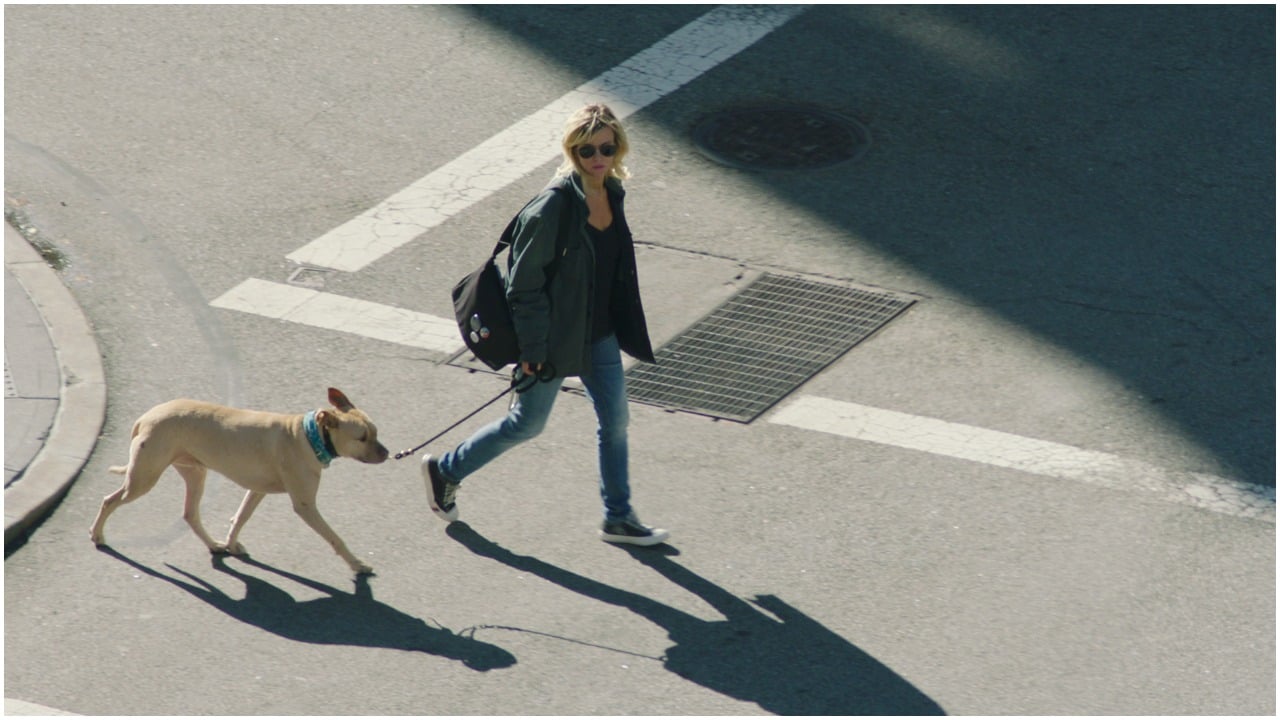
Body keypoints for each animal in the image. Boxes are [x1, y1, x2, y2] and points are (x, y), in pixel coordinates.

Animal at [90, 386, 384, 571]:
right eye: (362, 437)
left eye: (376, 432)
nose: (386, 453)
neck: (310, 436)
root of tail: (145, 417)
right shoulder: (305, 506)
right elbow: (335, 537)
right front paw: (357, 564)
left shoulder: (256, 490)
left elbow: (240, 518)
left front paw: (231, 544)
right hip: (143, 480)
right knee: (109, 501)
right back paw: (97, 535)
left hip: (195, 473)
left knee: (190, 514)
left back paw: (214, 545)